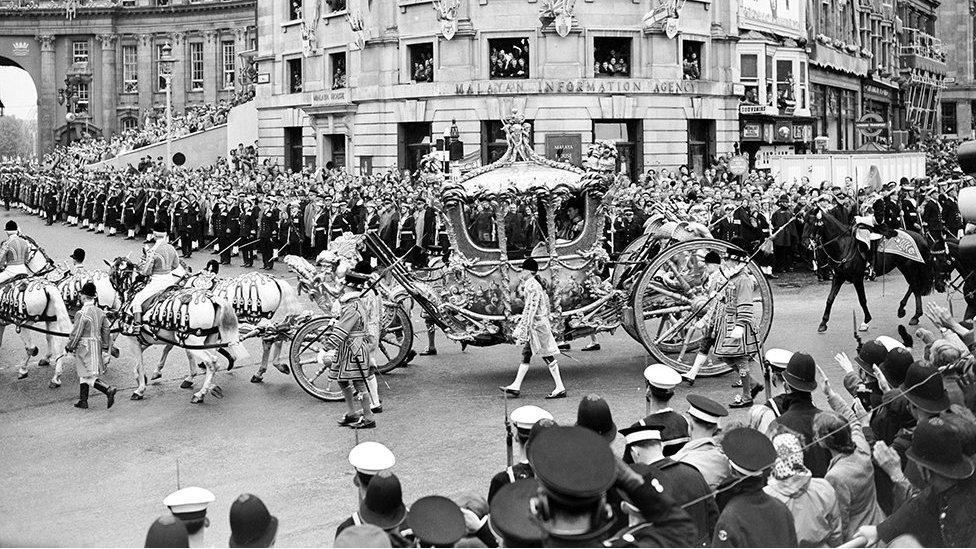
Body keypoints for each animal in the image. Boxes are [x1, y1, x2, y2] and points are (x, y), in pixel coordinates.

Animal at [108, 256, 246, 402]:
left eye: (112, 276)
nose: (118, 297)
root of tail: (212, 298)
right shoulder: (153, 338)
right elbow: (156, 356)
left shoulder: (133, 340)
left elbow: (140, 363)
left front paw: (140, 389)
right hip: (208, 340)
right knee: (212, 361)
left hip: (193, 342)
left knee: (212, 362)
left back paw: (200, 394)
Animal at [149, 270, 300, 386]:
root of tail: (274, 279)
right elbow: (170, 347)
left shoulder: (184, 329)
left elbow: (179, 349)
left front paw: (188, 376)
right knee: (276, 335)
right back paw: (269, 368)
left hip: (258, 319)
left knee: (270, 338)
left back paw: (265, 369)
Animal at [800, 210, 944, 332]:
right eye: (804, 222)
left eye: (812, 223)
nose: (805, 243)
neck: (844, 245)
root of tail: (919, 236)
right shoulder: (838, 277)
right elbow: (830, 299)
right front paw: (823, 323)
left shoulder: (857, 278)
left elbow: (862, 299)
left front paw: (866, 321)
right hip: (904, 267)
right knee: (913, 287)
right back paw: (908, 312)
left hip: (909, 267)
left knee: (914, 286)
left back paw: (912, 313)